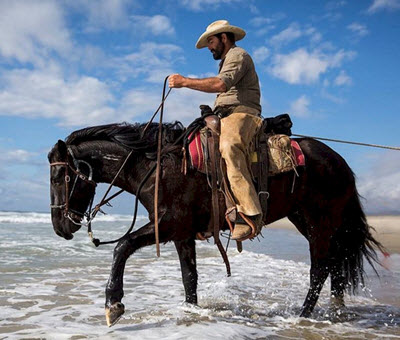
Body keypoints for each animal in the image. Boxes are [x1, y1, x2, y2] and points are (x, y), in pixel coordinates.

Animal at [48, 121, 382, 326]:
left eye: (59, 176)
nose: (60, 227)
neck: (157, 166)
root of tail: (339, 161)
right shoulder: (181, 234)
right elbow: (189, 277)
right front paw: (192, 311)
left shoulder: (167, 225)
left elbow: (122, 246)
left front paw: (113, 305)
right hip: (308, 219)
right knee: (335, 266)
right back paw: (335, 311)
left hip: (319, 222)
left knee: (319, 270)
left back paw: (302, 316)